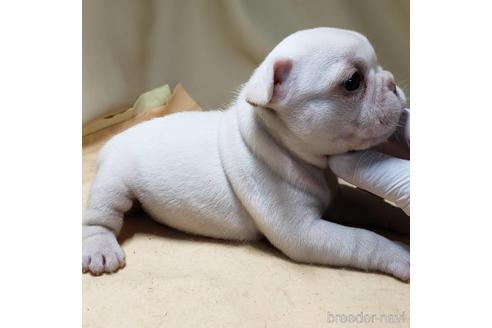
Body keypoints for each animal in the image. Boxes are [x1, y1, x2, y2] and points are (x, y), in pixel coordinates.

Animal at [82, 26, 410, 280]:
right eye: (352, 82)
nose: (393, 82)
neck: (285, 146)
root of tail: (113, 140)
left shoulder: (337, 198)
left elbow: (370, 204)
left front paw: (401, 219)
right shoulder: (303, 233)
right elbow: (362, 240)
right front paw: (399, 254)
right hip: (114, 180)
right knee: (100, 216)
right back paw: (100, 248)